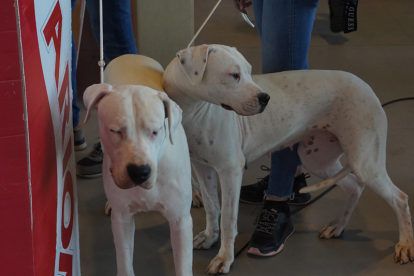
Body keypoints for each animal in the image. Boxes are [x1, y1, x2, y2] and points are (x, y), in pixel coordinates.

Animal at [161, 44, 414, 274]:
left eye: (249, 72)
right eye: (234, 74)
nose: (266, 98)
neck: (193, 109)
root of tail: (366, 85)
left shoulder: (230, 170)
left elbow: (228, 220)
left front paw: (225, 258)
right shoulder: (202, 168)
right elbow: (213, 207)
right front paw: (209, 237)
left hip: (365, 162)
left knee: (399, 198)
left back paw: (405, 245)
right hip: (318, 160)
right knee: (354, 187)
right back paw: (338, 226)